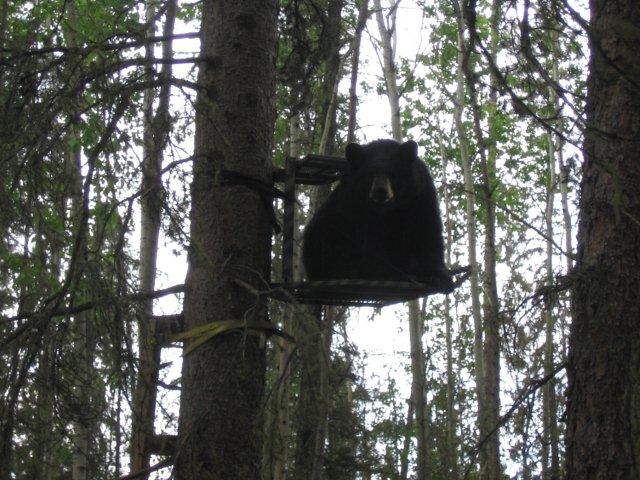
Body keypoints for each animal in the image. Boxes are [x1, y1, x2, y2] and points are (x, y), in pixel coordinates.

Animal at [302, 139, 452, 288]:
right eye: (371, 175)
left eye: (392, 174)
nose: (380, 190)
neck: (385, 210)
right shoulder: (351, 199)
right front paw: (382, 270)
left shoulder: (420, 194)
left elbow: (427, 228)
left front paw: (437, 276)